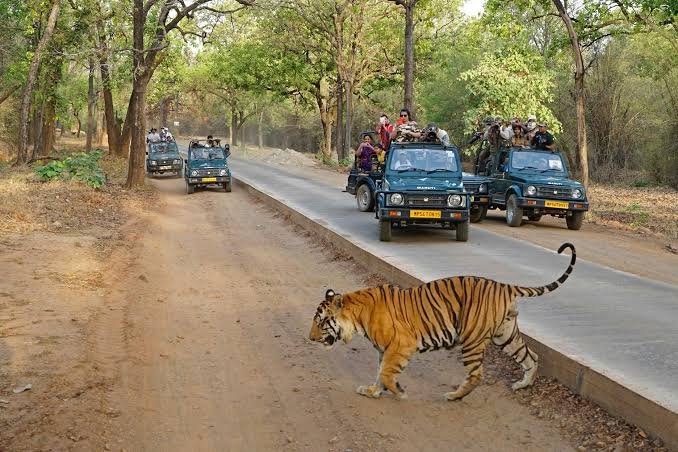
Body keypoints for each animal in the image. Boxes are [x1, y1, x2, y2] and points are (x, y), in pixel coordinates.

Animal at [310, 242, 576, 400]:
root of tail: (504, 286)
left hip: (471, 339)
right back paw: (523, 385)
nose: (310, 338)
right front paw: (373, 391)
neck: (356, 317)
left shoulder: (401, 345)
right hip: (506, 334)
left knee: (477, 374)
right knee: (531, 356)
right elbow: (379, 372)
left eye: (321, 321)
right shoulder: (384, 350)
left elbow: (386, 373)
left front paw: (398, 391)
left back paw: (455, 396)